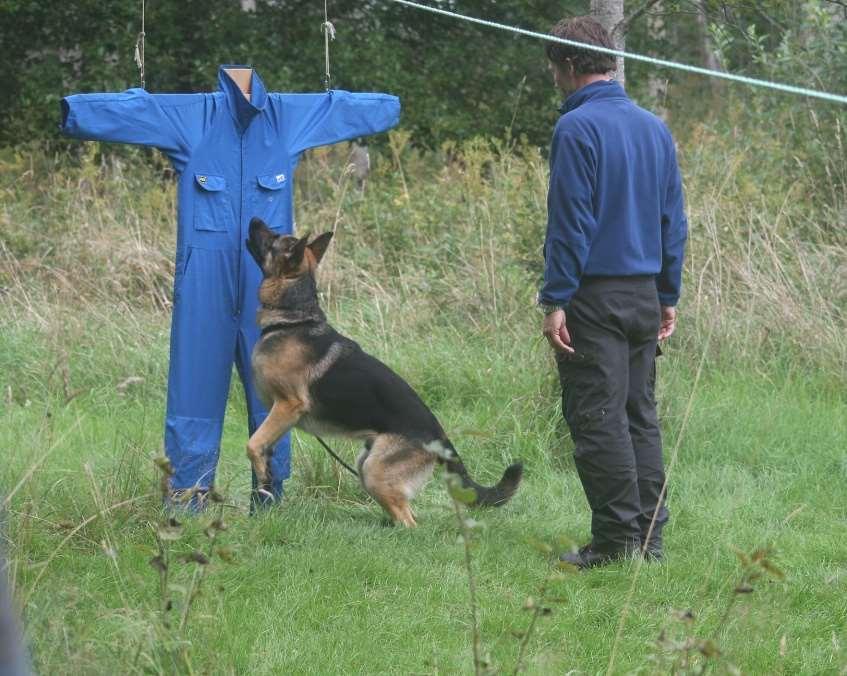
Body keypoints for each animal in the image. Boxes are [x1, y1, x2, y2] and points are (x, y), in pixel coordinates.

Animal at [243, 219, 524, 524]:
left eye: (273, 240)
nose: (254, 220)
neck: (294, 319)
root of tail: (442, 439)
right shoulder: (279, 415)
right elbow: (265, 445)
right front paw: (266, 477)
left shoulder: (287, 406)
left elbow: (252, 443)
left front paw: (261, 474)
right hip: (367, 465)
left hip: (374, 471)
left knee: (410, 522)